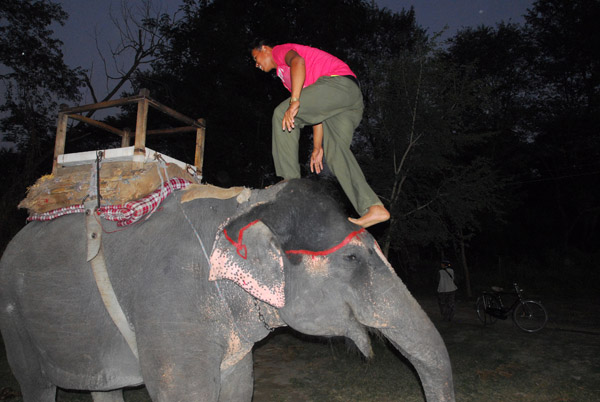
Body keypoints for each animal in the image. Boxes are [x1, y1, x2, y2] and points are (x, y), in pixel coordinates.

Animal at [0, 180, 454, 402]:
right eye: (353, 258)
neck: (242, 205)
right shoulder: (169, 306)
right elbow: (186, 394)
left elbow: (240, 389)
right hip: (14, 319)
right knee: (36, 385)